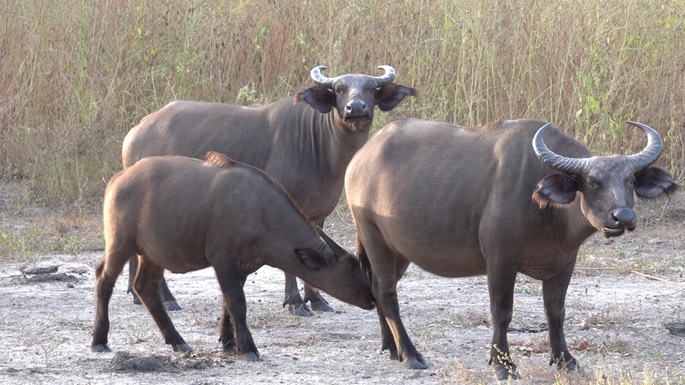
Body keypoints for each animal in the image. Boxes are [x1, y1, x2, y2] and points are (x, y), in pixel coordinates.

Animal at [91, 152, 374, 358]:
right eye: (351, 270)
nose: (372, 298)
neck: (260, 212)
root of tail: (117, 180)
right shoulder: (222, 261)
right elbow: (237, 302)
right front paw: (248, 348)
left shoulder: (243, 268)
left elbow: (228, 303)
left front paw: (228, 342)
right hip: (120, 244)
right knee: (104, 280)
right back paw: (99, 340)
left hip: (152, 254)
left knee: (145, 287)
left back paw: (178, 342)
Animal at [120, 64, 414, 314]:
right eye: (340, 89)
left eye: (371, 89)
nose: (356, 108)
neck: (322, 147)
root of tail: (136, 132)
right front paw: (295, 302)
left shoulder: (319, 213)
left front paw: (317, 300)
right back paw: (167, 299)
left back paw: (136, 294)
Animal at [344, 118, 676, 378]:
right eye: (593, 182)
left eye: (630, 180)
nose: (624, 217)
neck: (546, 209)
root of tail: (362, 156)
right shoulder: (501, 262)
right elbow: (501, 312)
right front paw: (503, 365)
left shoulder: (564, 263)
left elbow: (556, 311)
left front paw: (565, 359)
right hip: (373, 237)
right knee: (388, 294)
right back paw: (410, 354)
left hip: (399, 251)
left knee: (377, 290)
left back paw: (391, 347)